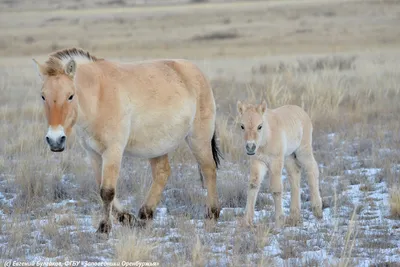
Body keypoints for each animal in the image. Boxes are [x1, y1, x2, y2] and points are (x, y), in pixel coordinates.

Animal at [32, 47, 223, 234]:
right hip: (156, 146)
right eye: (43, 96)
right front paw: (126, 218)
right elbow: (101, 185)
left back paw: (212, 215)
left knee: (209, 170)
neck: (99, 95)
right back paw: (145, 214)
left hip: (198, 138)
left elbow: (107, 191)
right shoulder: (93, 153)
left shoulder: (113, 150)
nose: (55, 140)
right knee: (162, 173)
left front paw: (104, 227)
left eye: (70, 96)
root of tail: (196, 72)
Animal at [236, 100, 324, 228]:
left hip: (303, 150)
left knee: (312, 169)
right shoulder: (257, 161)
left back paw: (317, 210)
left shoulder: (276, 161)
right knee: (295, 175)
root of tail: (302, 111)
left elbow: (276, 189)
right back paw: (294, 216)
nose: (250, 147)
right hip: (289, 156)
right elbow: (253, 185)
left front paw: (279, 221)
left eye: (260, 126)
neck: (266, 138)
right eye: (242, 126)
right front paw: (247, 221)